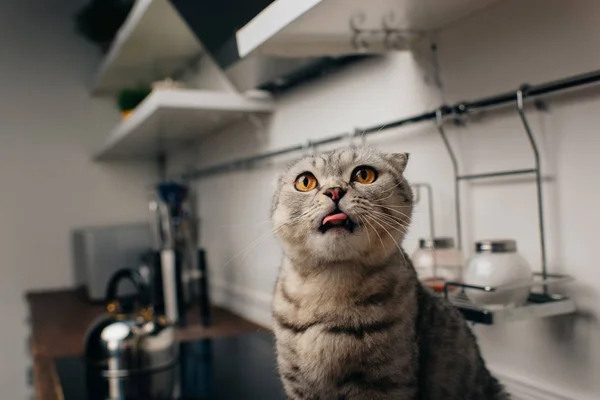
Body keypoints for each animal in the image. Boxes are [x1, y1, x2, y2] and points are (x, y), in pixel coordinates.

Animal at [270, 147, 508, 400]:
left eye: (363, 175)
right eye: (305, 181)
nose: (334, 191)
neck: (330, 285)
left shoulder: (388, 383)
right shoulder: (297, 385)